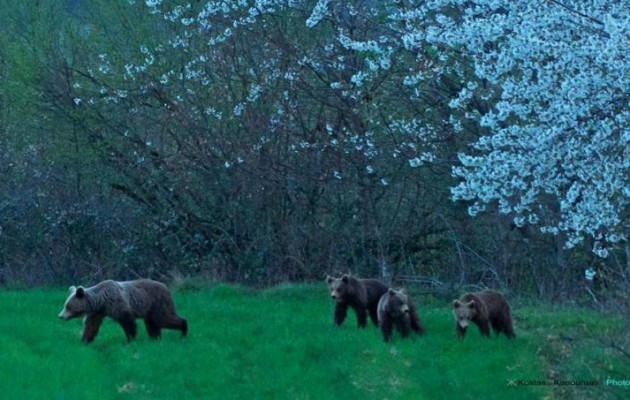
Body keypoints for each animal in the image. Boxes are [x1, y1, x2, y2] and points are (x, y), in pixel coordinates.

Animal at [58, 278, 188, 344]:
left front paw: (130, 339)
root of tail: (166, 287)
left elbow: (128, 322)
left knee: (163, 318)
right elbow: (91, 325)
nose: (60, 316)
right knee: (152, 323)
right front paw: (84, 340)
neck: (101, 301)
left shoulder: (118, 304)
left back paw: (183, 329)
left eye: (68, 306)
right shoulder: (98, 312)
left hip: (158, 302)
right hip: (150, 308)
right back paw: (155, 338)